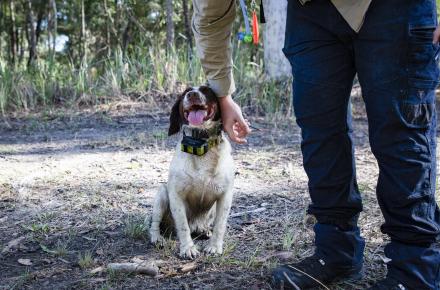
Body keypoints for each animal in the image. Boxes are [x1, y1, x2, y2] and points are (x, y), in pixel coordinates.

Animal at [150, 85, 235, 258]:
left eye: (206, 90)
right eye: (185, 93)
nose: (192, 94)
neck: (200, 144)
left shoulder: (225, 196)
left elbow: (220, 225)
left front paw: (214, 247)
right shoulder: (176, 195)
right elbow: (183, 226)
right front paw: (188, 248)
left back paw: (204, 230)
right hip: (162, 194)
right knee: (155, 224)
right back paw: (157, 238)